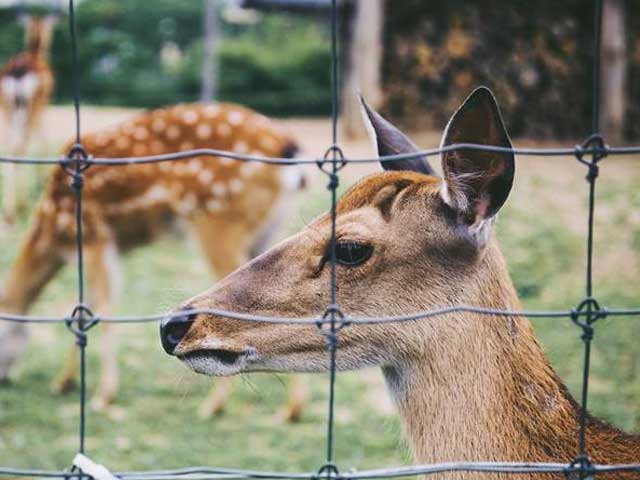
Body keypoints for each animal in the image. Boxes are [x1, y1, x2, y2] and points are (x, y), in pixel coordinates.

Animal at [0, 13, 57, 219]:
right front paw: (43, 179)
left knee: (10, 145)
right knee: (20, 145)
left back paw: (10, 209)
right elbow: (43, 138)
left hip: (7, 106)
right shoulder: (44, 102)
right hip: (31, 104)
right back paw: (19, 206)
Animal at [0, 102, 310, 420]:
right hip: (269, 229)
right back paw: (291, 409)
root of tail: (288, 148)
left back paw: (213, 406)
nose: (4, 380)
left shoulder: (94, 237)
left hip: (218, 219)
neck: (53, 231)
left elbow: (103, 309)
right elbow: (83, 308)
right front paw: (64, 382)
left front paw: (102, 397)